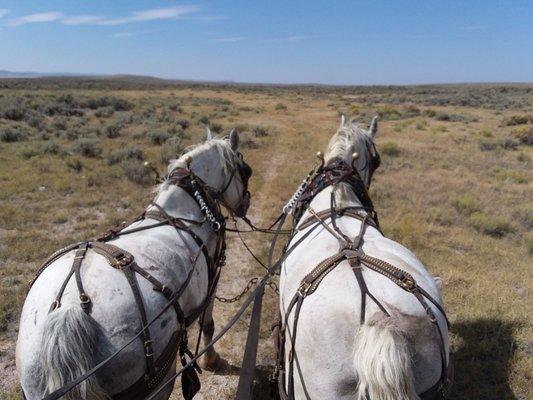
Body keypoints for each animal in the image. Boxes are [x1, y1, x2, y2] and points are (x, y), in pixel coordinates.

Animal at [16, 130, 249, 398]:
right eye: (246, 171)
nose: (246, 203)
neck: (183, 213)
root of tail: (71, 308)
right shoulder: (213, 279)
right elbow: (208, 324)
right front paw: (211, 359)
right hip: (159, 380)